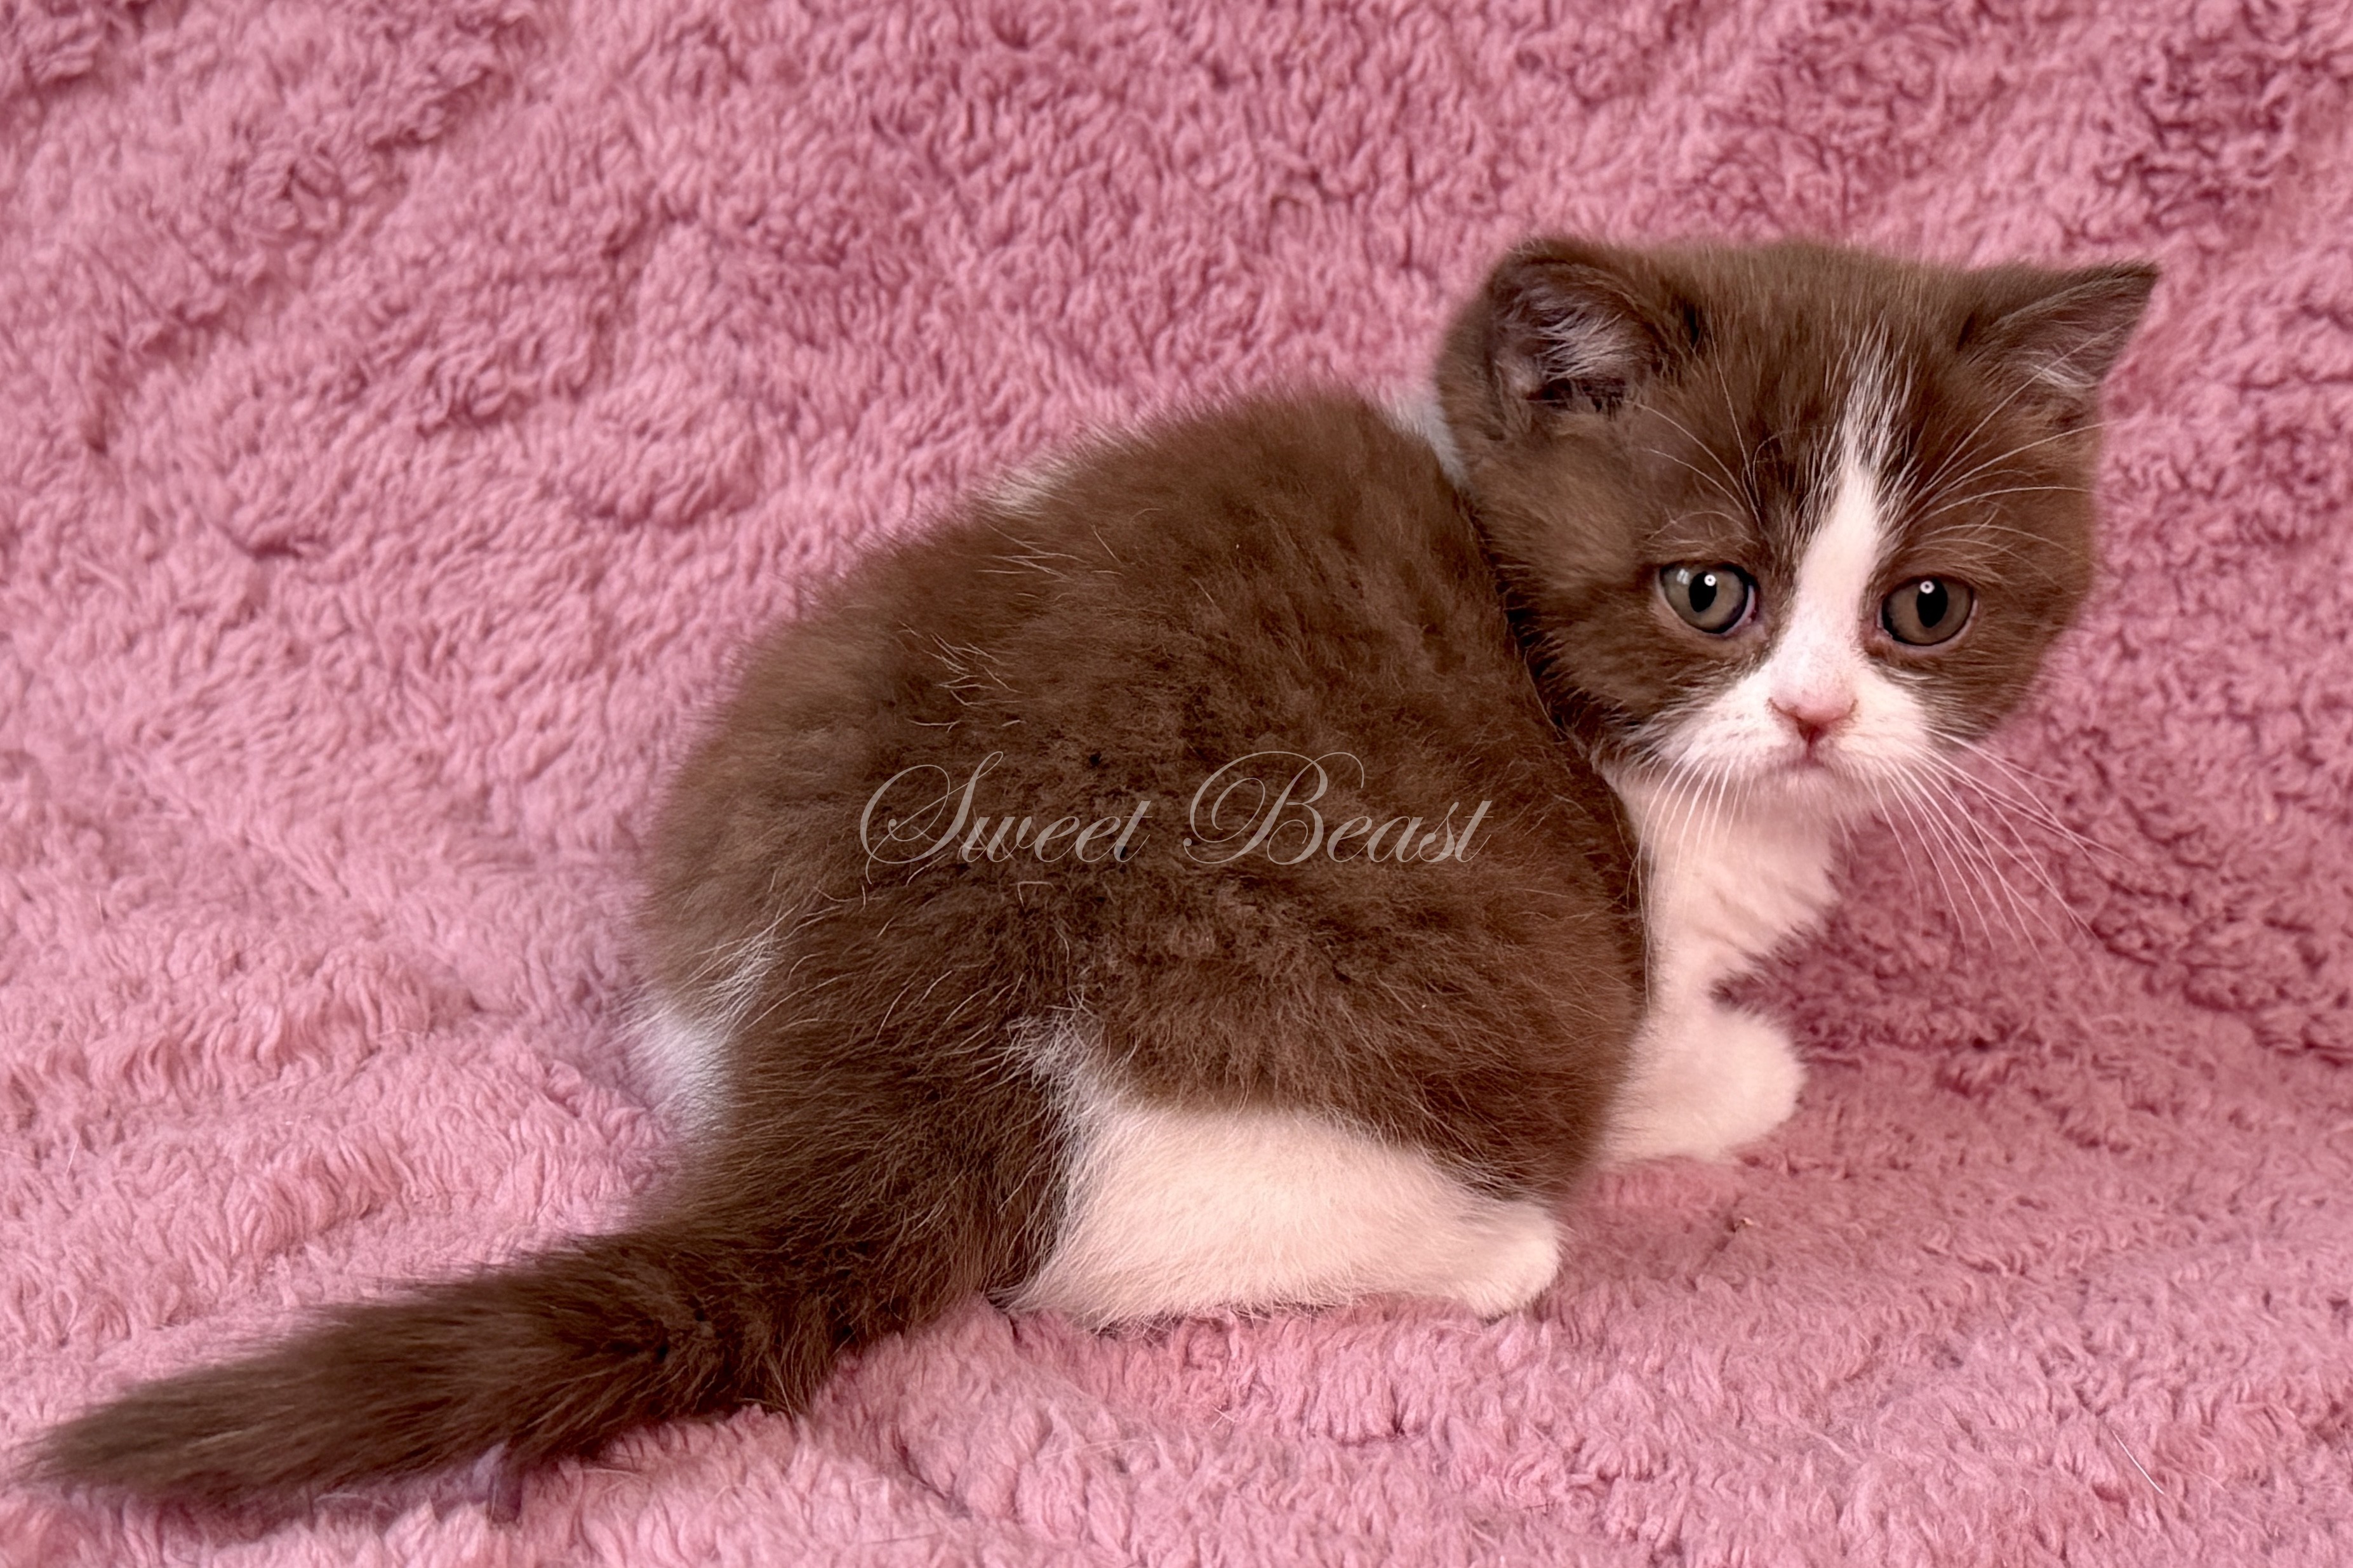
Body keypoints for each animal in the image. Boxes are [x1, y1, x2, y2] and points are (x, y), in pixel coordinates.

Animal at [34, 236, 2154, 1511]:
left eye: (1920, 608)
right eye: (1708, 592)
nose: (1814, 714)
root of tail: (884, 1010)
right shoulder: (1621, 924)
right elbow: (1662, 1039)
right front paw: (1739, 1067)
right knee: (1110, 1258)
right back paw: (1490, 1243)